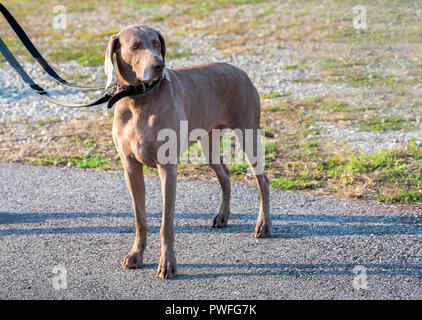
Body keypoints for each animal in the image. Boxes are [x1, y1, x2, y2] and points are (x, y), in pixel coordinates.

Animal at [105, 25, 270, 280]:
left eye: (156, 43)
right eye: (135, 46)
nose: (159, 65)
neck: (139, 100)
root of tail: (241, 71)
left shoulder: (167, 169)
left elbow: (166, 223)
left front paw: (167, 264)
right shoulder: (131, 168)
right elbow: (139, 218)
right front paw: (136, 255)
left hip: (248, 135)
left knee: (263, 181)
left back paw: (263, 225)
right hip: (208, 143)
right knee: (225, 176)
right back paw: (223, 216)